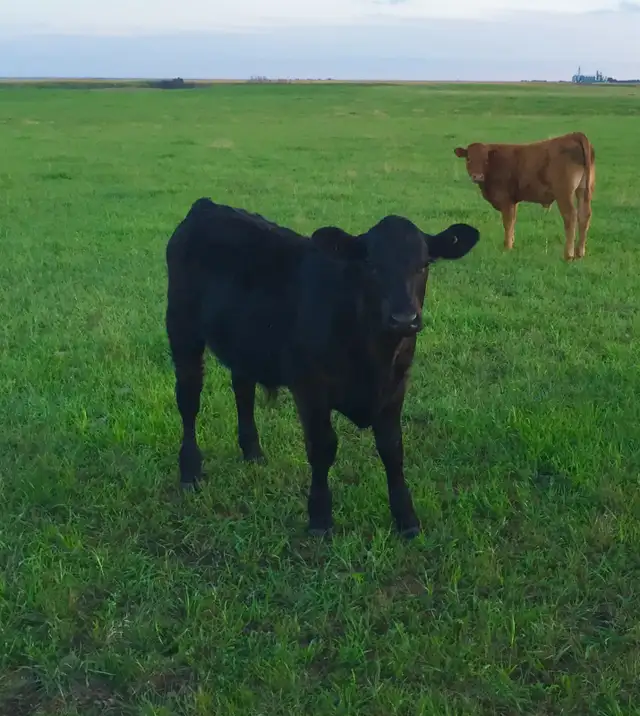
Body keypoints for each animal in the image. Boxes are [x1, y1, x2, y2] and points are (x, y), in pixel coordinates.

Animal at [165, 198, 480, 538]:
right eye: (371, 265)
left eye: (424, 265)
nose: (404, 319)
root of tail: (206, 205)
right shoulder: (310, 388)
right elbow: (323, 447)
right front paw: (319, 518)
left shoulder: (396, 387)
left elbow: (393, 449)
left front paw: (406, 519)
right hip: (182, 329)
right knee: (188, 399)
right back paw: (190, 471)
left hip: (244, 342)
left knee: (243, 390)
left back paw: (253, 453)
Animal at [453, 132, 595, 261]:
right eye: (468, 158)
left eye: (486, 160)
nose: (477, 176)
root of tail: (573, 135)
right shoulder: (513, 202)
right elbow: (512, 222)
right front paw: (511, 243)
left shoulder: (506, 200)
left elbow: (508, 223)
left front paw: (507, 247)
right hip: (583, 191)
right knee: (584, 215)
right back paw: (579, 253)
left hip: (564, 194)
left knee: (570, 216)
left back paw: (568, 255)